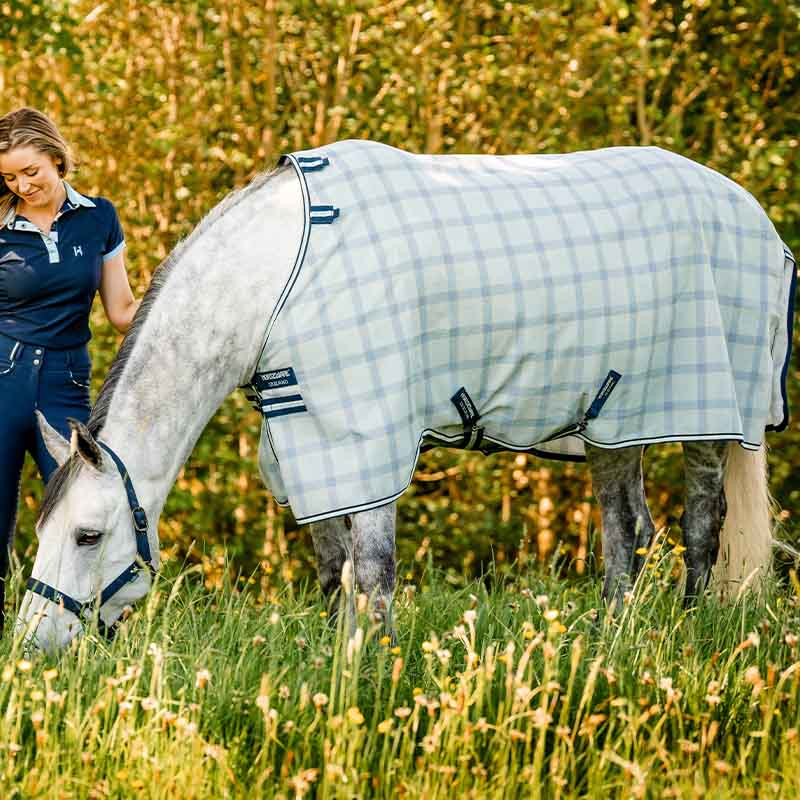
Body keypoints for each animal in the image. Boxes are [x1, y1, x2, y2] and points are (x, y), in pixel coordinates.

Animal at [16, 140, 795, 652]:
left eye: (88, 536)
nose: (34, 645)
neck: (277, 275)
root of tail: (750, 211)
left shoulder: (365, 434)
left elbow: (374, 570)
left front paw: (375, 675)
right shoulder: (308, 439)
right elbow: (333, 568)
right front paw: (335, 661)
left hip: (704, 413)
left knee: (701, 524)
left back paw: (687, 630)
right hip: (613, 421)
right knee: (624, 530)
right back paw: (612, 637)